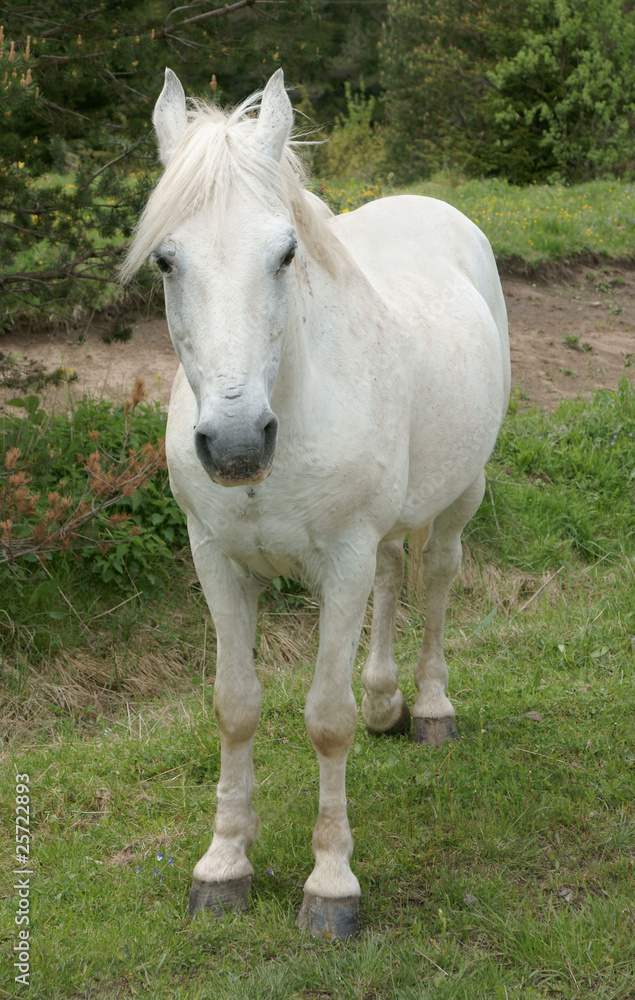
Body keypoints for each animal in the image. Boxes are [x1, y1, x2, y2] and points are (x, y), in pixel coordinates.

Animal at [122, 67, 511, 940]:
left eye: (285, 253)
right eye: (165, 260)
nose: (236, 442)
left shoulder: (340, 562)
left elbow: (324, 718)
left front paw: (330, 885)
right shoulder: (217, 561)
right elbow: (234, 706)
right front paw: (222, 865)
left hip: (461, 493)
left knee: (437, 579)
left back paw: (428, 709)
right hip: (384, 530)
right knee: (396, 574)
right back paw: (385, 702)